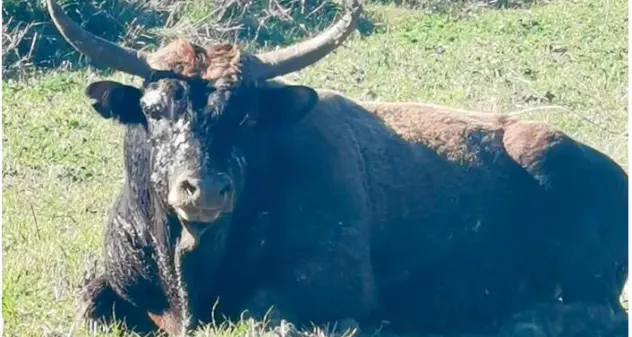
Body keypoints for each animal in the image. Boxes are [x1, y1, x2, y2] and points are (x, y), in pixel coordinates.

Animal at [45, 0, 628, 334]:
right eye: (153, 108)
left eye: (248, 117)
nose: (203, 190)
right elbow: (87, 304)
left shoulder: (335, 280)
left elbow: (266, 315)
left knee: (600, 311)